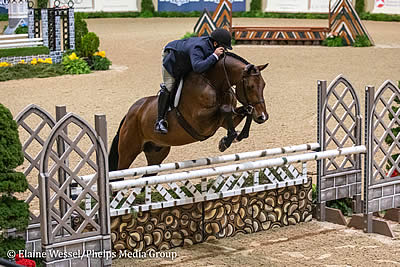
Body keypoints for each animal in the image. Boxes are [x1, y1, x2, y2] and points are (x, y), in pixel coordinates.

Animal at [108, 52, 268, 172]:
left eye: (264, 85)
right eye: (250, 86)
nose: (263, 117)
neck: (214, 83)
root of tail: (130, 113)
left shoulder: (224, 121)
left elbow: (245, 111)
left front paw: (237, 136)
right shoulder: (200, 121)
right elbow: (225, 109)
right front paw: (225, 141)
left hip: (157, 153)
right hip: (128, 151)